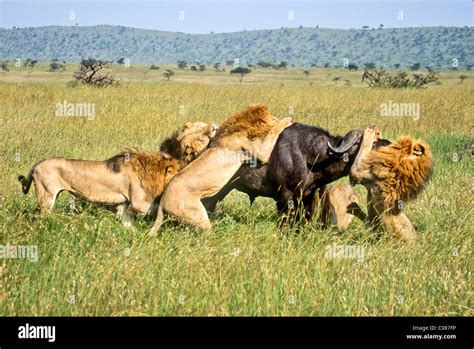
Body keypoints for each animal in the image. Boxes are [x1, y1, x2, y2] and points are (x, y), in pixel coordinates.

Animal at [17, 121, 218, 226]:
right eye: (202, 132)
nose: (214, 126)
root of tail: (35, 165)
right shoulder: (138, 203)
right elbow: (155, 208)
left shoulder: (124, 204)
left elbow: (126, 220)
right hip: (46, 197)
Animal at [148, 103, 294, 234]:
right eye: (273, 117)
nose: (213, 127)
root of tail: (162, 200)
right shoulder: (260, 153)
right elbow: (273, 132)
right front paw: (286, 120)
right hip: (197, 214)